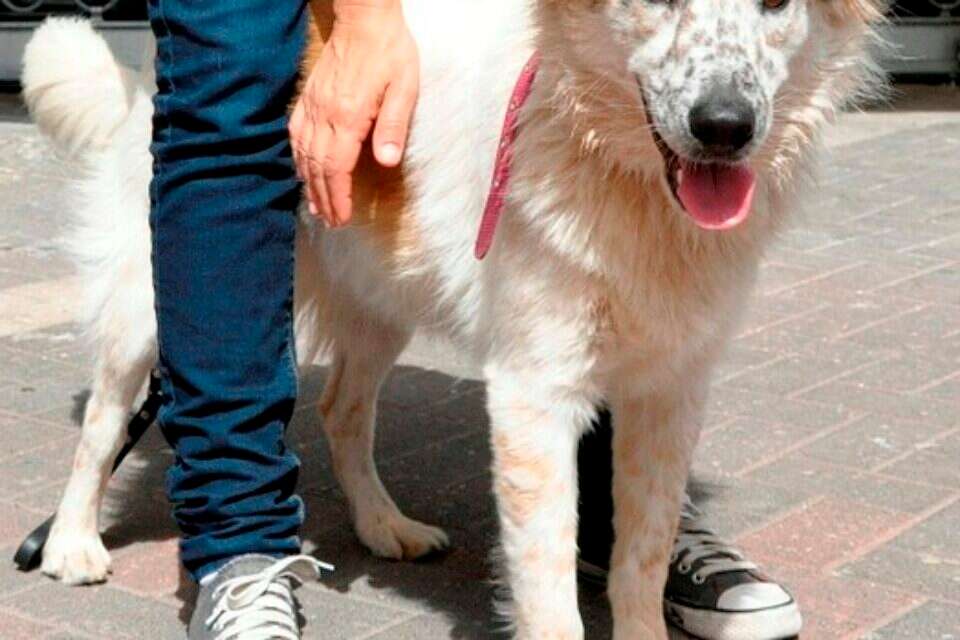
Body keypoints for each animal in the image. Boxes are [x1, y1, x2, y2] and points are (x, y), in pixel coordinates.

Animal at [21, 1, 882, 636]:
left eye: (775, 3)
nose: (725, 125)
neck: (615, 168)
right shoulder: (535, 394)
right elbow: (548, 591)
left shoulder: (669, 390)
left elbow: (640, 559)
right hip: (151, 294)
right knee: (102, 422)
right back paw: (71, 543)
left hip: (382, 299)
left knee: (342, 409)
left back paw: (383, 524)